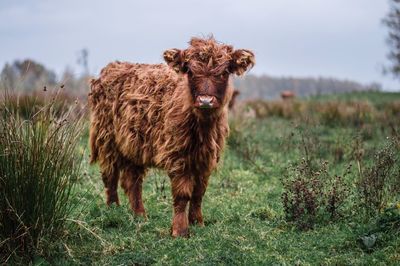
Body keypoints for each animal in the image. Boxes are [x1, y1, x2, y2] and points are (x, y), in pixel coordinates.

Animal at [89, 37, 255, 237]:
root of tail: (112, 67)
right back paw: (113, 209)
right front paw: (180, 230)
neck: (202, 128)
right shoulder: (178, 156)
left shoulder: (206, 158)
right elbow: (183, 194)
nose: (205, 100)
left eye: (224, 72)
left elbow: (199, 193)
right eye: (190, 71)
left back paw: (139, 215)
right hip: (107, 140)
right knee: (110, 175)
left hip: (134, 145)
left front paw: (197, 222)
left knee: (132, 181)